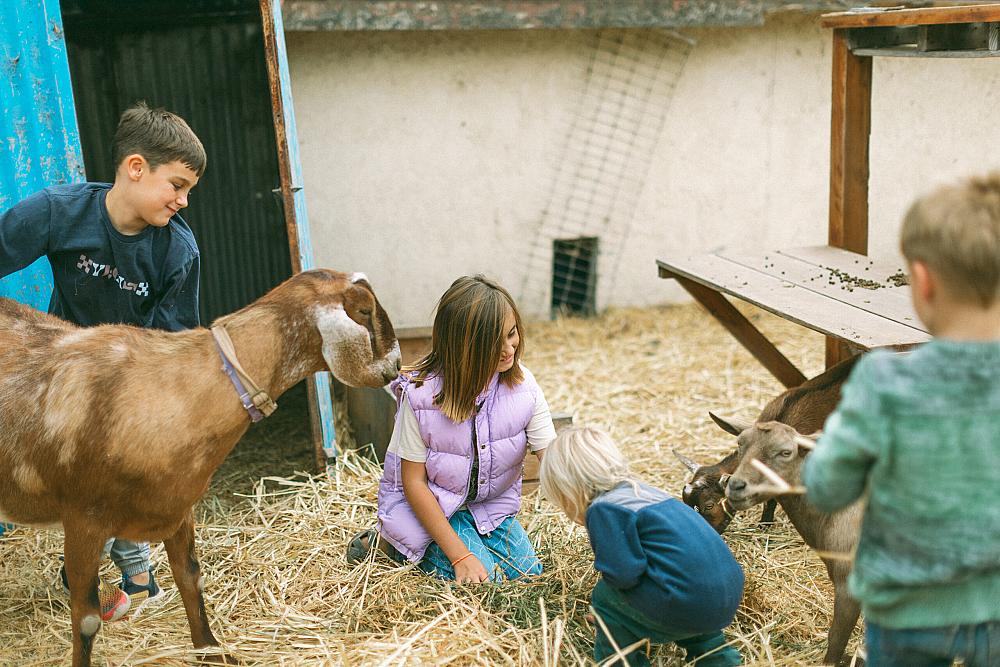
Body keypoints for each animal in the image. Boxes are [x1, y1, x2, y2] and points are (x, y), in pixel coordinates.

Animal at [0, 269, 401, 667]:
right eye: (364, 311)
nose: (397, 366)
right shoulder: (83, 520)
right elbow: (86, 620)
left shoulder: (179, 510)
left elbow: (191, 579)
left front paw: (211, 650)